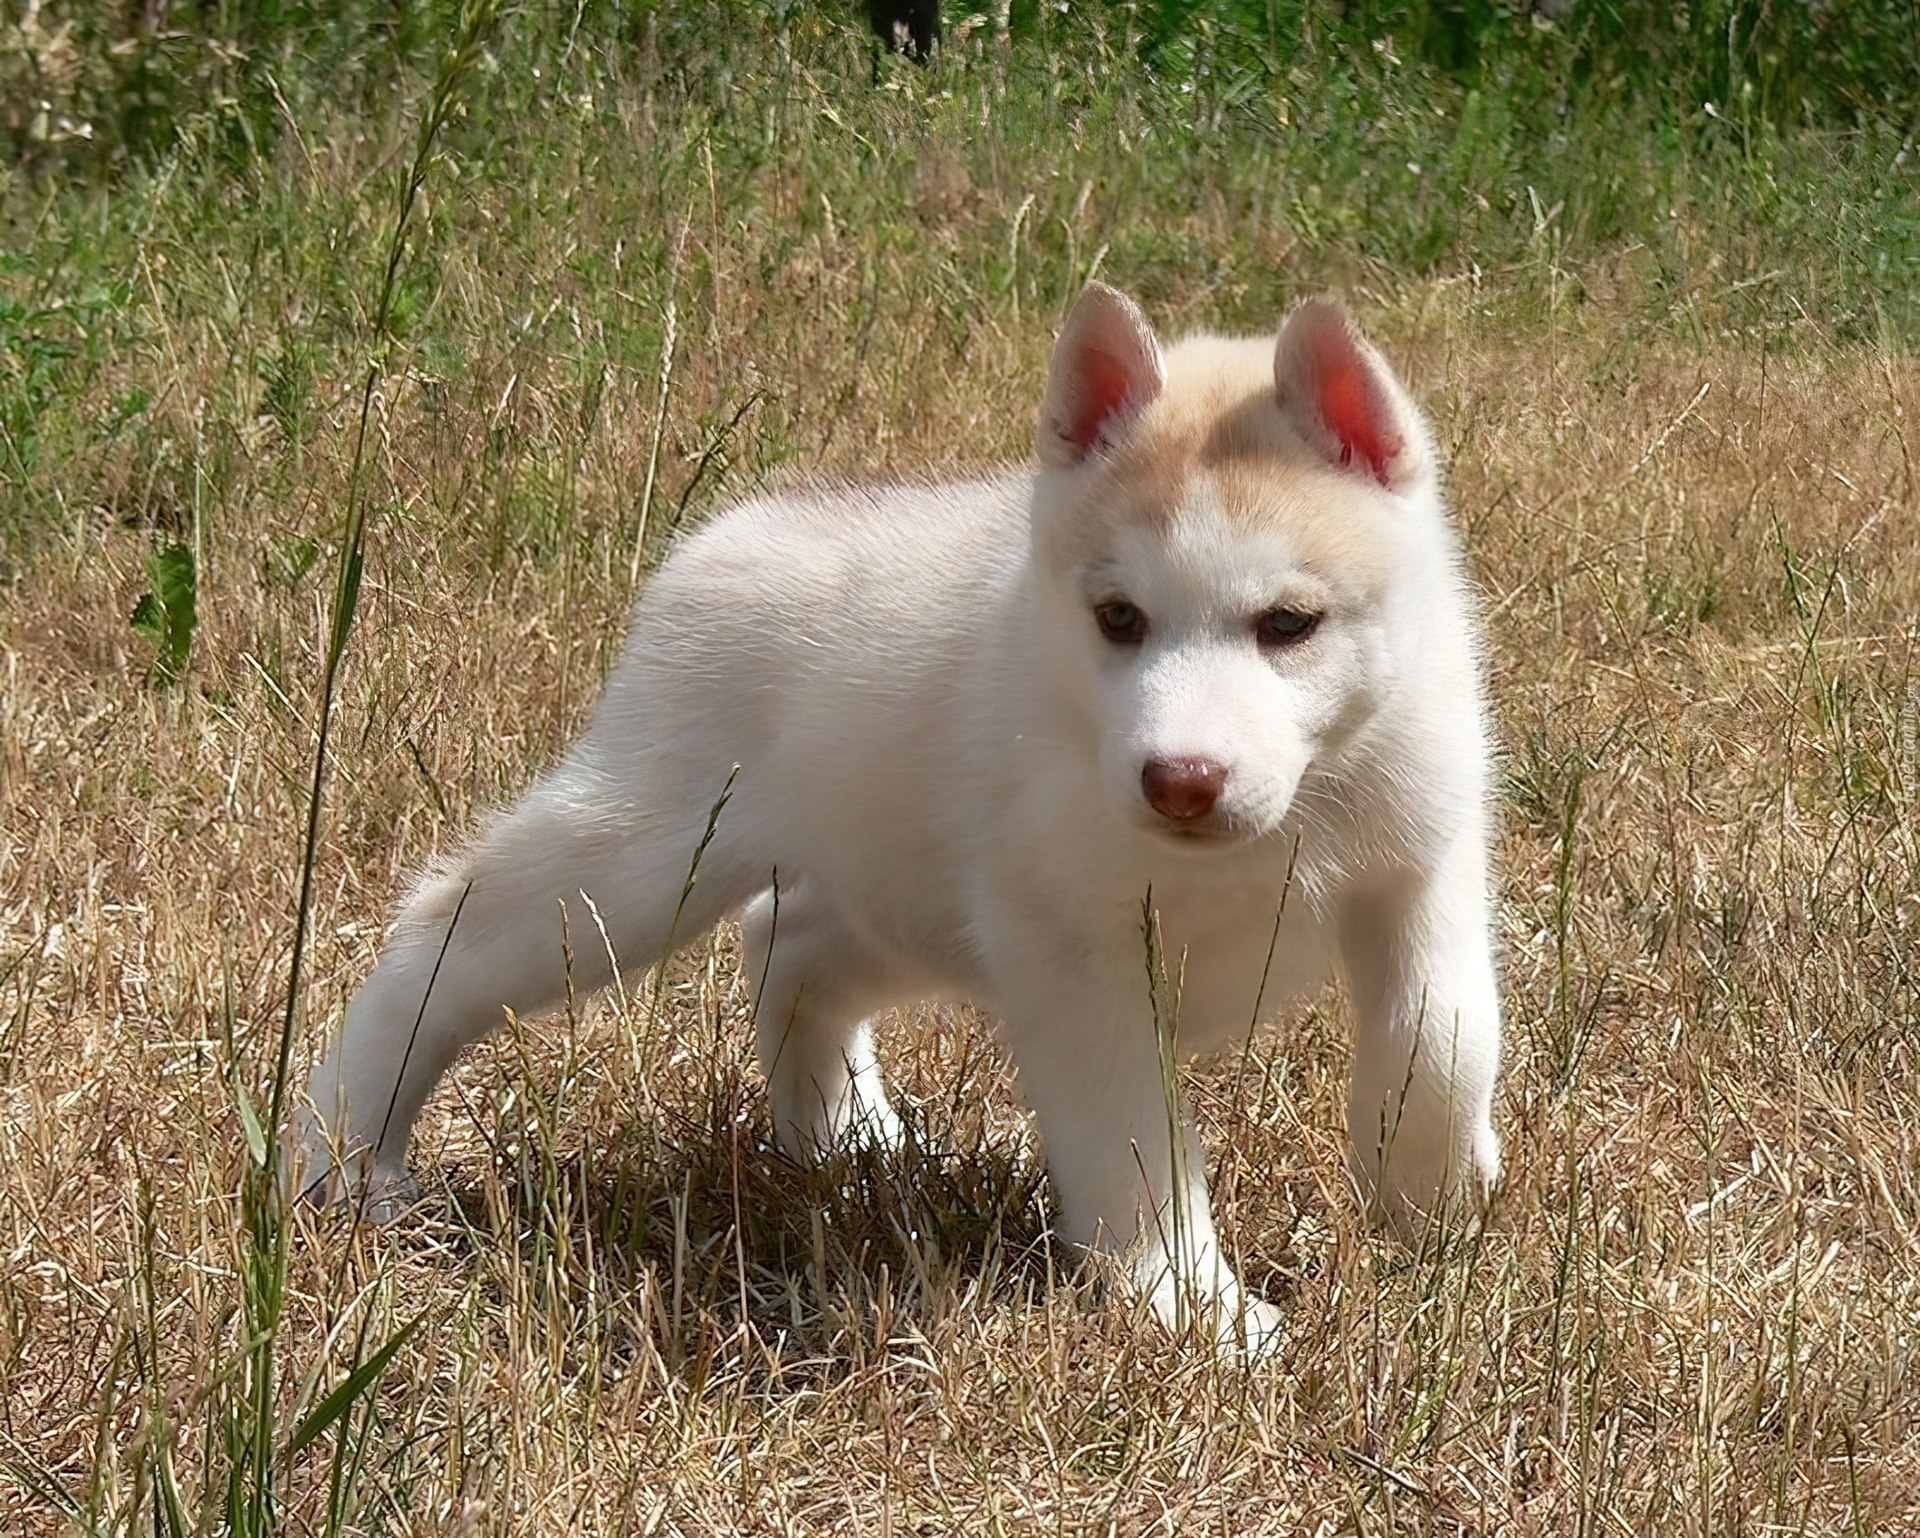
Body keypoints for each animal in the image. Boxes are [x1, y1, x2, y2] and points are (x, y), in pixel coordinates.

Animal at [299, 284, 1497, 1344]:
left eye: (1288, 623)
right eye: (1119, 618)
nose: (1181, 781)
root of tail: (748, 522)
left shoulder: (1422, 877)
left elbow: (1442, 1040)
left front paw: (1428, 1208)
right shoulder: (1076, 965)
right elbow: (1134, 1142)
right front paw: (1190, 1306)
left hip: (904, 902)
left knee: (784, 940)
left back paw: (848, 1139)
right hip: (641, 864)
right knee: (444, 924)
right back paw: (344, 1154)